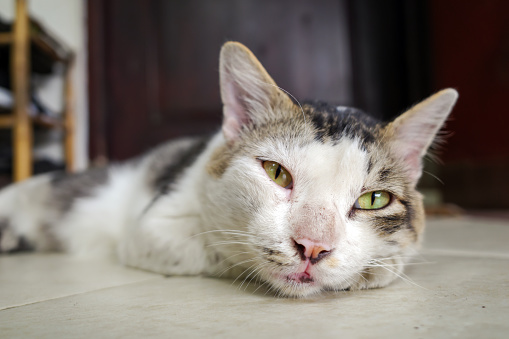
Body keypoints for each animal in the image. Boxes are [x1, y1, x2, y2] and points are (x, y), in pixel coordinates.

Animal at [0, 41, 456, 298]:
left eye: (374, 199)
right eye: (276, 172)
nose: (312, 247)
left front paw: (374, 268)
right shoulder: (149, 229)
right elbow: (216, 249)